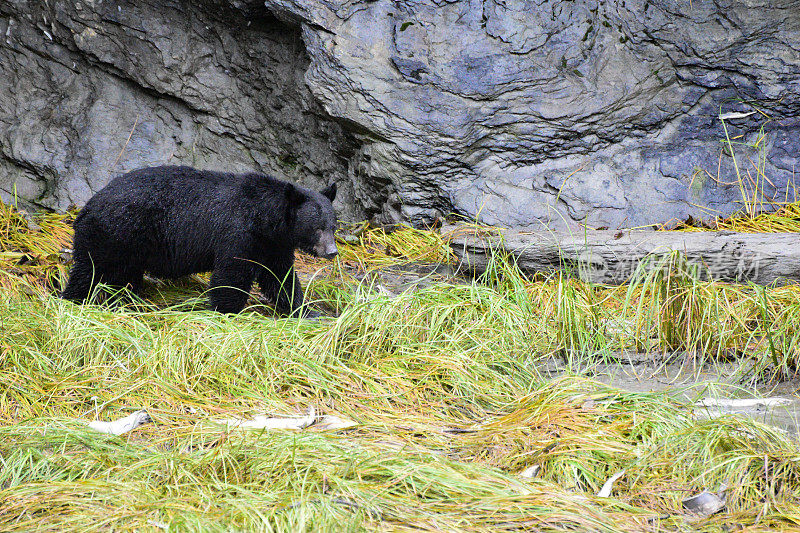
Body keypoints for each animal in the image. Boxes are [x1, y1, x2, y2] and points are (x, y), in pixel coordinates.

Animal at [61, 165, 338, 316]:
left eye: (333, 226)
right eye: (317, 228)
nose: (332, 252)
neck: (265, 218)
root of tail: (88, 206)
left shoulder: (273, 245)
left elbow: (281, 277)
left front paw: (306, 310)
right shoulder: (238, 233)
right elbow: (231, 274)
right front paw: (227, 311)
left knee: (121, 277)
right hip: (115, 232)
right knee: (89, 270)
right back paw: (74, 299)